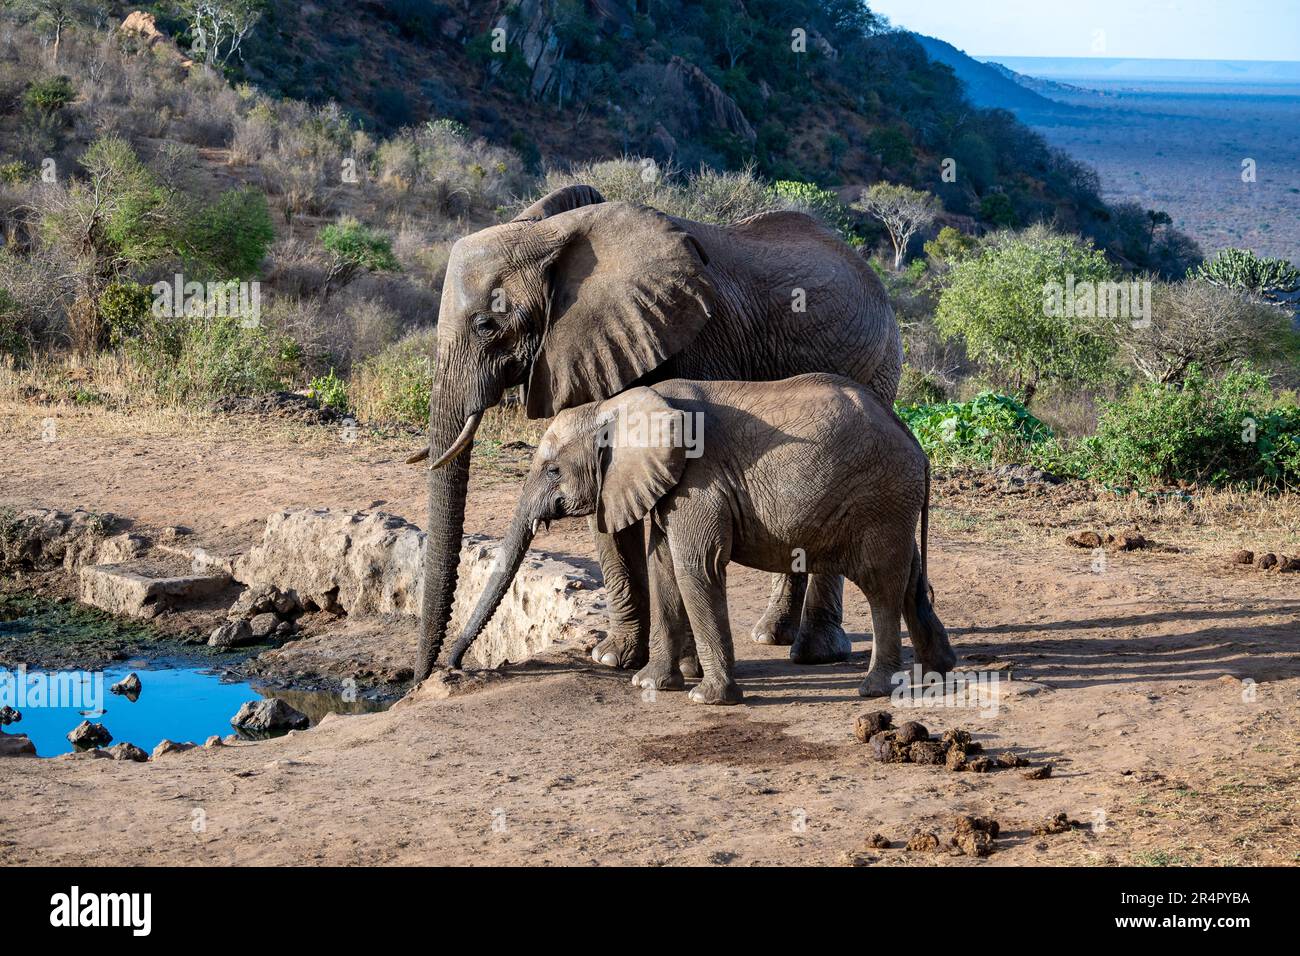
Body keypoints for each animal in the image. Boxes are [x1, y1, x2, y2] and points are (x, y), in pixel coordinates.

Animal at [410, 184, 899, 681]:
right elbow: (606, 501)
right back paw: (771, 634)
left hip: (877, 366)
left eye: (485, 325)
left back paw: (815, 651)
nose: (439, 671)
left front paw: (669, 667)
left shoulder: (696, 336)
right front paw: (615, 658)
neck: (552, 235)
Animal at [449, 374, 956, 702]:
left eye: (554, 471)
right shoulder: (669, 486)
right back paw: (937, 672)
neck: (618, 407)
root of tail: (915, 441)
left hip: (879, 497)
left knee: (881, 584)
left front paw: (708, 698)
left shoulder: (699, 480)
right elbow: (663, 567)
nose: (452, 666)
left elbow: (695, 566)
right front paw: (649, 684)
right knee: (911, 580)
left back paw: (874, 689)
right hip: (892, 503)